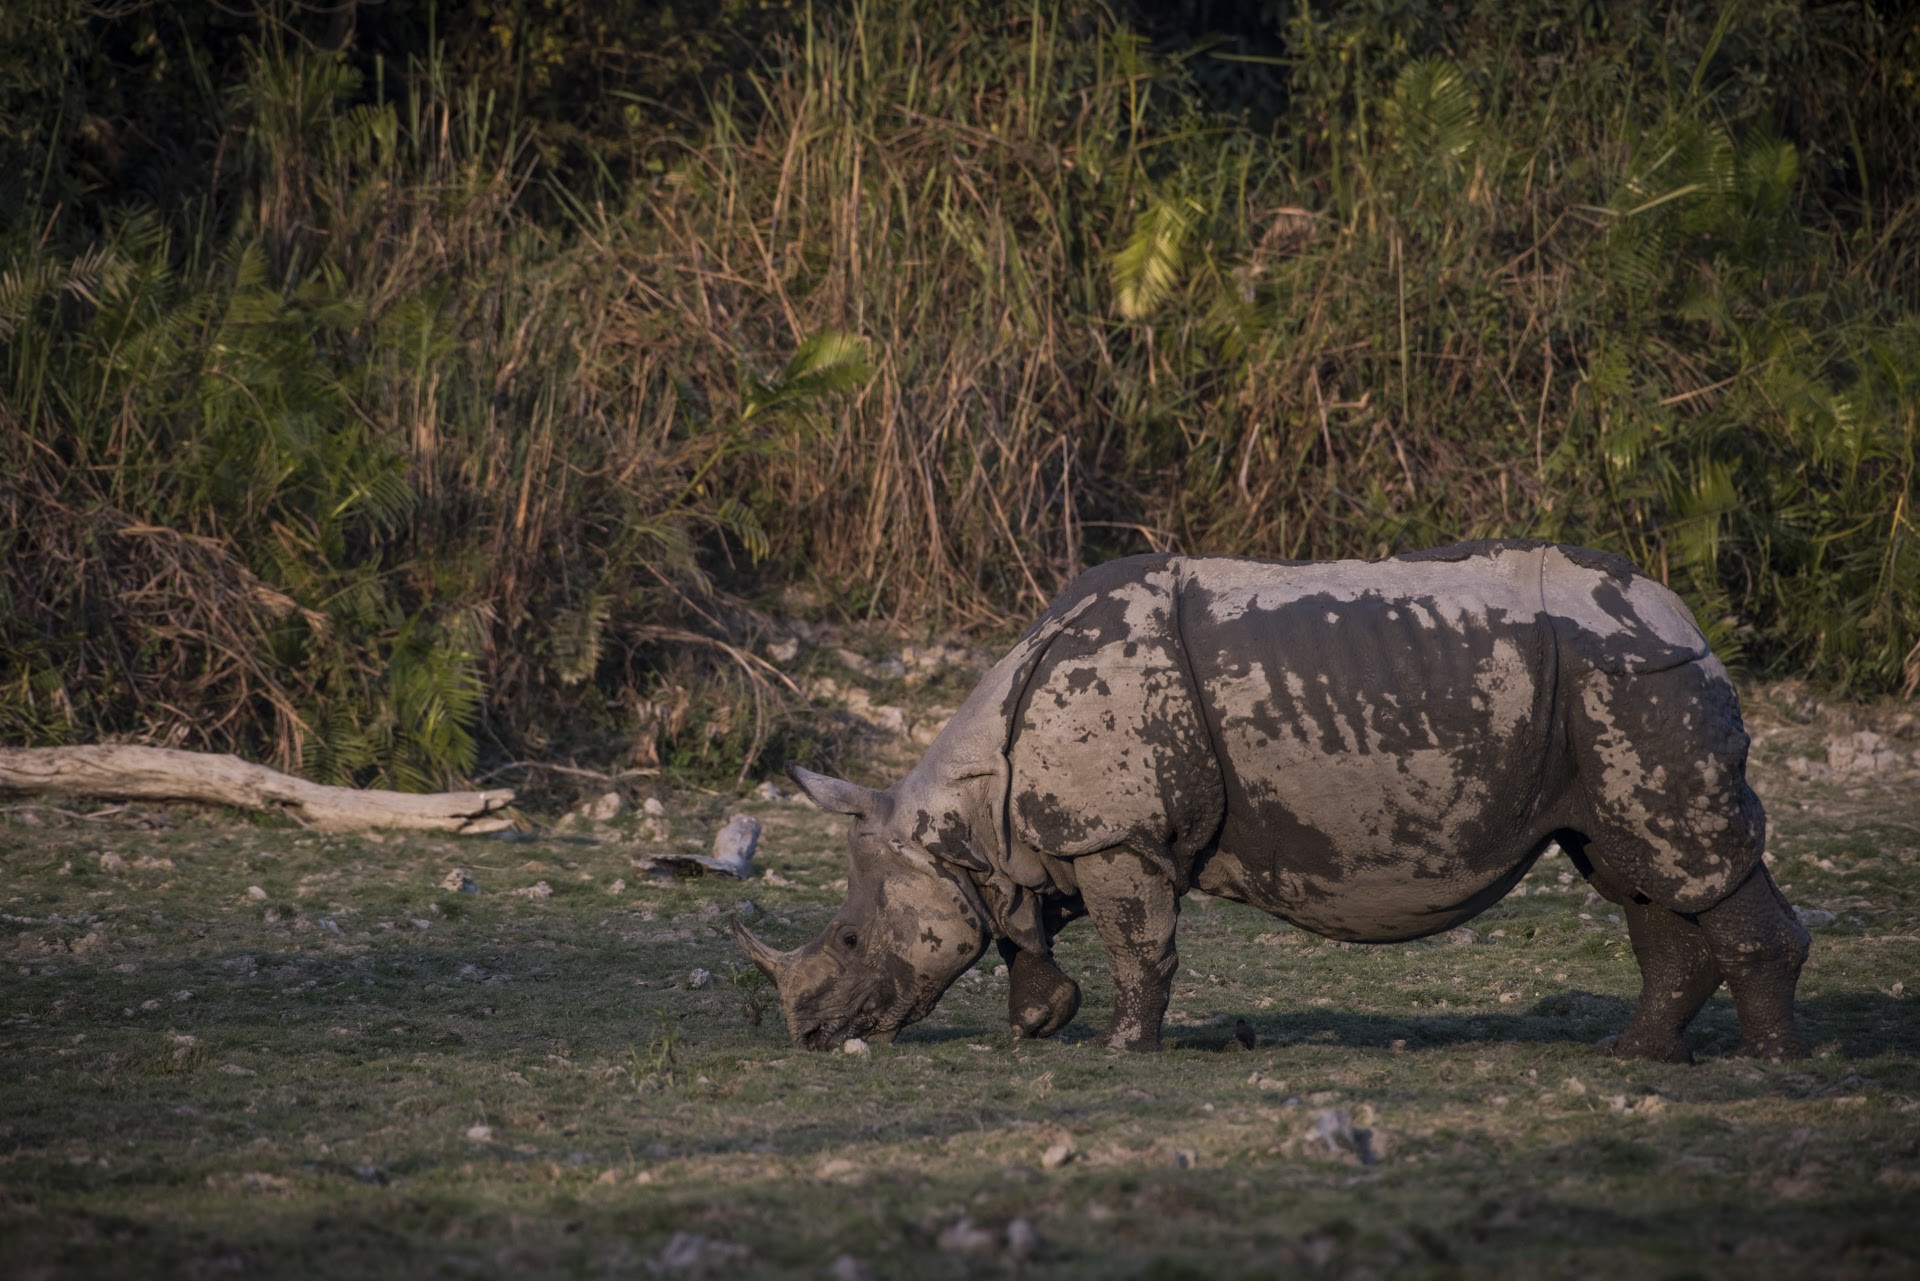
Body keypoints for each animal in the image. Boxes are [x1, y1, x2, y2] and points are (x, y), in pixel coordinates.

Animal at [735, 540, 1809, 1061]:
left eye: (847, 939)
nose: (809, 1037)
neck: (960, 817)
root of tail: (1684, 614)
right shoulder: (1045, 843)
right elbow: (1018, 929)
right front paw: (1038, 1024)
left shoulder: (1118, 834)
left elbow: (1136, 943)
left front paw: (1120, 1050)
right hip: (1598, 694)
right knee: (1636, 874)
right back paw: (1633, 1057)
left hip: (1633, 677)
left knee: (1683, 865)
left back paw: (1765, 1069)